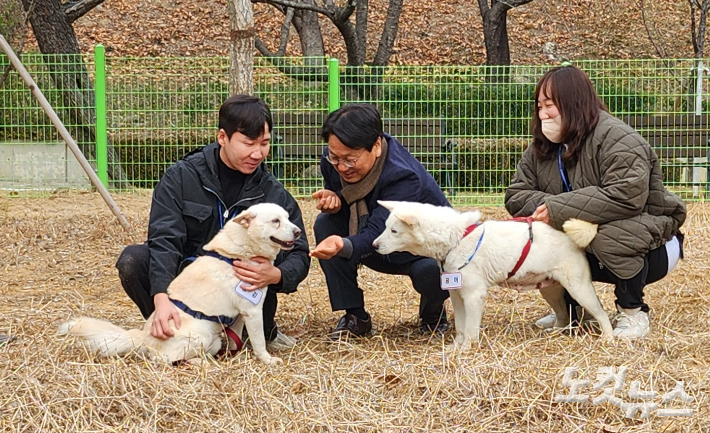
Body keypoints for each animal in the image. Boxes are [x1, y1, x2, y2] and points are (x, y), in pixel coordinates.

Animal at [59, 202, 302, 364]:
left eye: (288, 217)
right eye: (275, 221)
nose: (298, 231)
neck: (237, 253)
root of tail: (143, 337)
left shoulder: (240, 315)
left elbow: (236, 341)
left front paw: (236, 356)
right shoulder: (252, 311)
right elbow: (259, 342)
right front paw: (267, 360)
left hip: (212, 340)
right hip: (201, 336)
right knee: (164, 360)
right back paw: (201, 363)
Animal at [372, 201, 616, 350]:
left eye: (394, 231)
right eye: (386, 227)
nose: (374, 245)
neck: (457, 238)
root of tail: (569, 236)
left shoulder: (473, 296)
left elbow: (471, 329)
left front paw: (467, 349)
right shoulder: (456, 295)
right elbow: (460, 327)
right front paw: (456, 347)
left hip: (578, 288)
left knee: (601, 313)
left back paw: (609, 338)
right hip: (551, 290)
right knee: (564, 315)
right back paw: (555, 333)